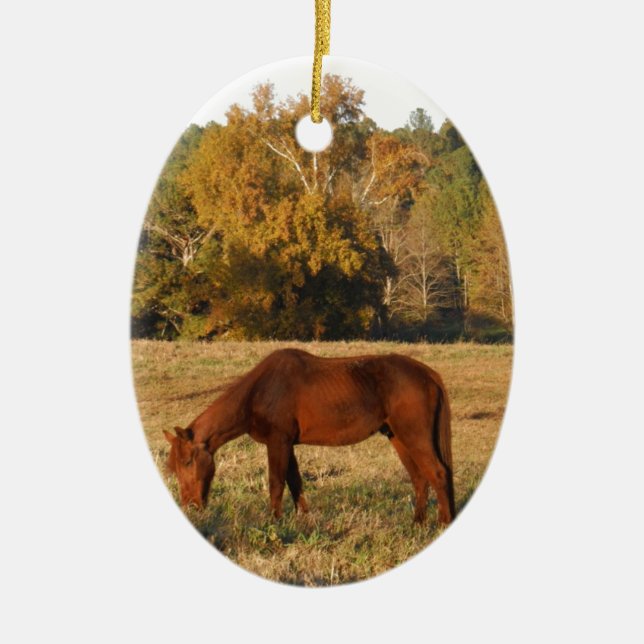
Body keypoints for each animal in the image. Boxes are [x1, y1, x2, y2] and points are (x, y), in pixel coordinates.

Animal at [163, 348, 456, 525]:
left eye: (187, 462)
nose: (191, 506)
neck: (260, 391)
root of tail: (427, 373)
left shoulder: (278, 442)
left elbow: (276, 482)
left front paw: (274, 522)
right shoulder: (287, 444)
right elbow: (295, 481)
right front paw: (302, 518)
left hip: (414, 436)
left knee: (437, 474)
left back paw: (442, 522)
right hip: (398, 437)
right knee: (420, 478)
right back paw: (418, 523)